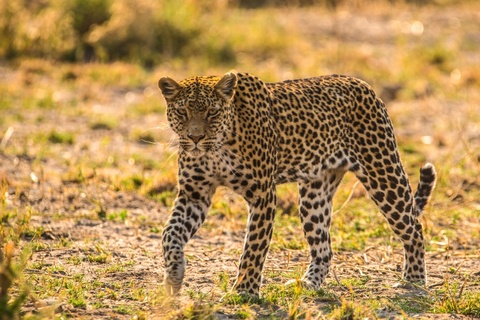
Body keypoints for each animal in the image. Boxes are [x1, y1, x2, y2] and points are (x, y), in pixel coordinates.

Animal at [158, 71, 436, 296]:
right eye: (182, 112)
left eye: (212, 112)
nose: (195, 137)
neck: (216, 148)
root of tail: (362, 84)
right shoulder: (194, 193)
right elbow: (170, 234)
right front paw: (175, 274)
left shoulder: (263, 195)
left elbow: (254, 248)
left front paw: (245, 292)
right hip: (314, 196)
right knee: (323, 248)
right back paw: (308, 284)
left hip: (383, 173)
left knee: (413, 227)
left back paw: (413, 280)